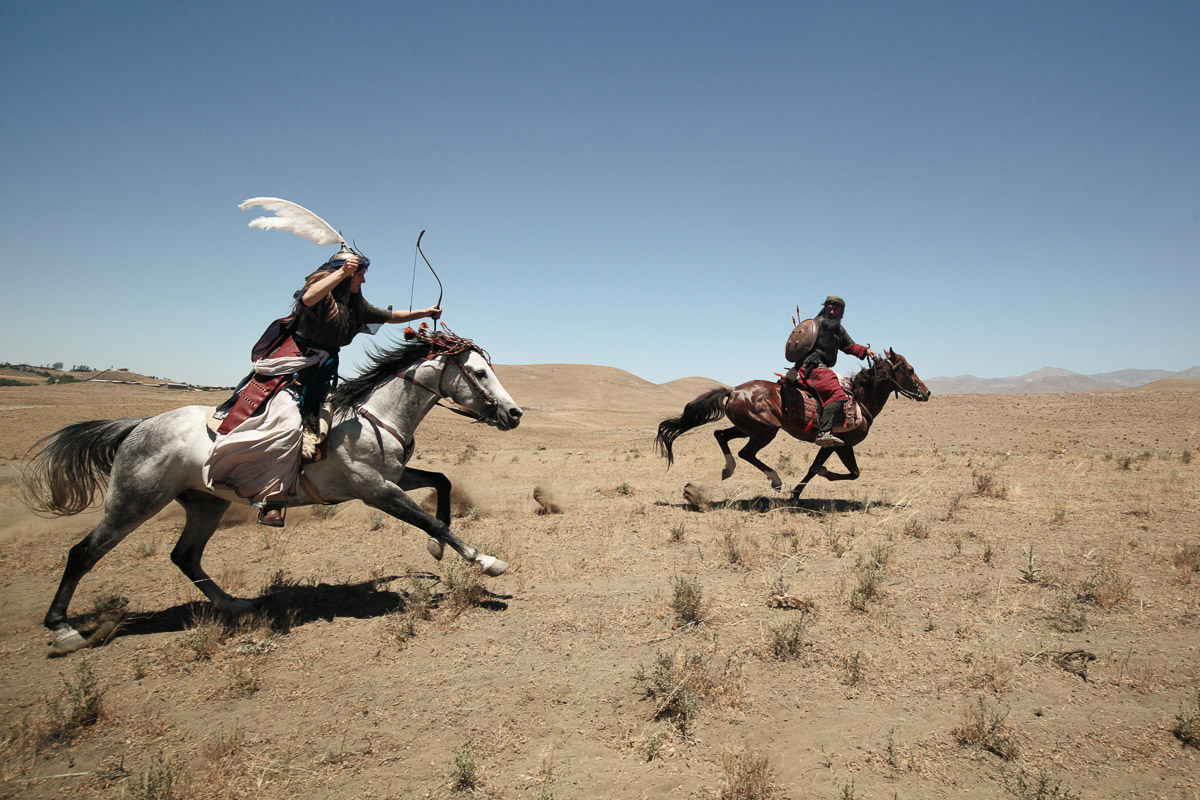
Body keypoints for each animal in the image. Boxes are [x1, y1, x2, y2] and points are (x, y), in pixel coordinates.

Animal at [25, 331, 523, 657]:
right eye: (479, 373)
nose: (515, 413)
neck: (374, 417)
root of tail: (136, 428)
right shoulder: (375, 490)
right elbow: (431, 515)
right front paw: (486, 561)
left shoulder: (393, 479)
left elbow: (441, 483)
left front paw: (437, 549)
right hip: (134, 501)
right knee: (82, 553)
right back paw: (64, 631)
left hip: (205, 503)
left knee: (184, 556)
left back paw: (236, 605)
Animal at [657, 347, 926, 494]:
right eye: (910, 370)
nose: (926, 392)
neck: (860, 399)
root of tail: (732, 391)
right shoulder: (843, 444)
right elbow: (851, 473)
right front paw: (822, 475)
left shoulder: (831, 445)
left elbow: (815, 468)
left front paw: (797, 493)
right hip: (765, 430)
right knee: (746, 452)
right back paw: (774, 479)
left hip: (748, 428)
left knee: (721, 435)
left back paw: (728, 469)